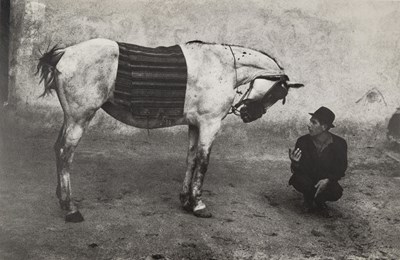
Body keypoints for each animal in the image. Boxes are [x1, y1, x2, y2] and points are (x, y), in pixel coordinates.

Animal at [36, 38, 304, 221]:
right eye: (278, 93)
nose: (249, 115)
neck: (222, 66)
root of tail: (65, 52)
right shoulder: (210, 124)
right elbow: (203, 163)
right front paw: (199, 205)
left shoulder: (195, 124)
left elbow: (191, 160)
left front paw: (186, 201)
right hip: (80, 117)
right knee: (65, 154)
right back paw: (71, 208)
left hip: (71, 117)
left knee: (57, 149)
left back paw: (62, 199)